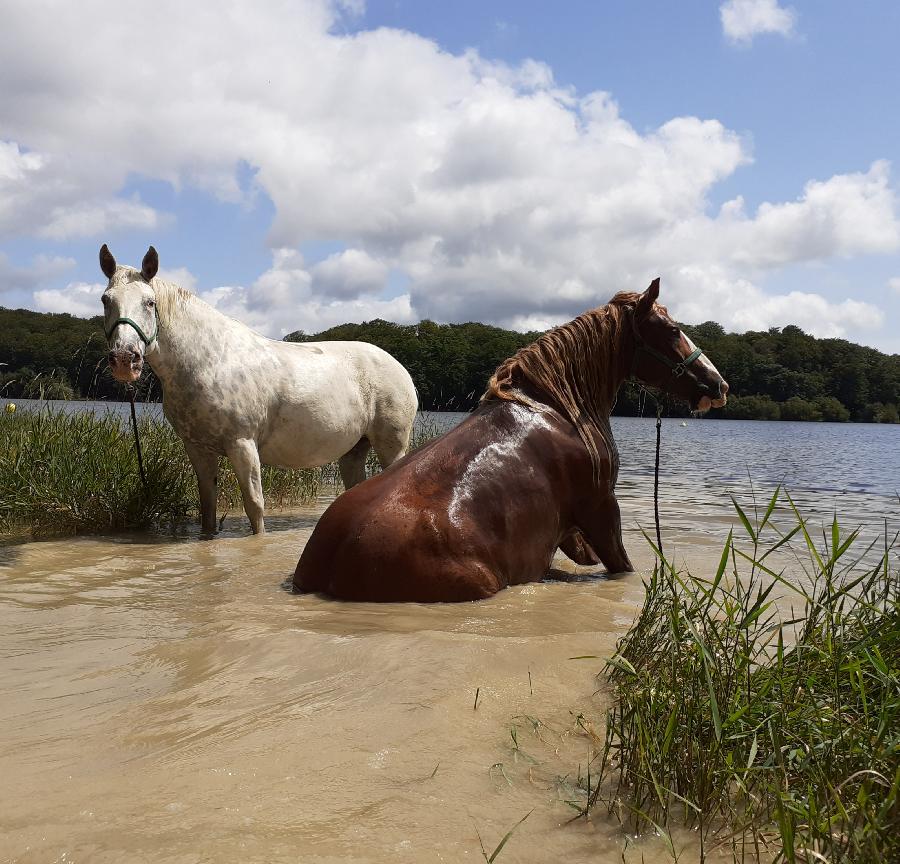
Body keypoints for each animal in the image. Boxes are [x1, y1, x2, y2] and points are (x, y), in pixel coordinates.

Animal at [101, 243, 418, 532]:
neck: (210, 361)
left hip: (392, 447)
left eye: (149, 302)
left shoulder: (242, 444)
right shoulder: (198, 449)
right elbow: (207, 507)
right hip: (353, 451)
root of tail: (402, 370)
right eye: (106, 300)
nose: (125, 359)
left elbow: (254, 506)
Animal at [292, 280, 728, 604]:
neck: (558, 406)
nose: (718, 385)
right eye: (672, 330)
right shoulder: (602, 506)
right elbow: (621, 565)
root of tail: (329, 561)